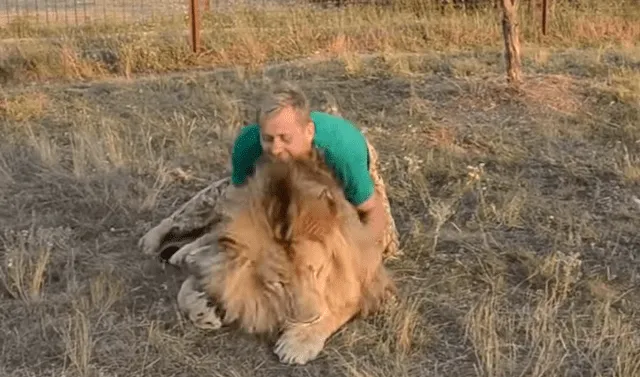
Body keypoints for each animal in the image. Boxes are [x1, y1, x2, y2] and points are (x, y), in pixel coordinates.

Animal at [166, 148, 396, 364]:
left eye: (317, 271)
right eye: (278, 283)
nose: (310, 317)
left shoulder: (369, 278)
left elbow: (340, 307)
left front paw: (298, 343)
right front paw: (204, 310)